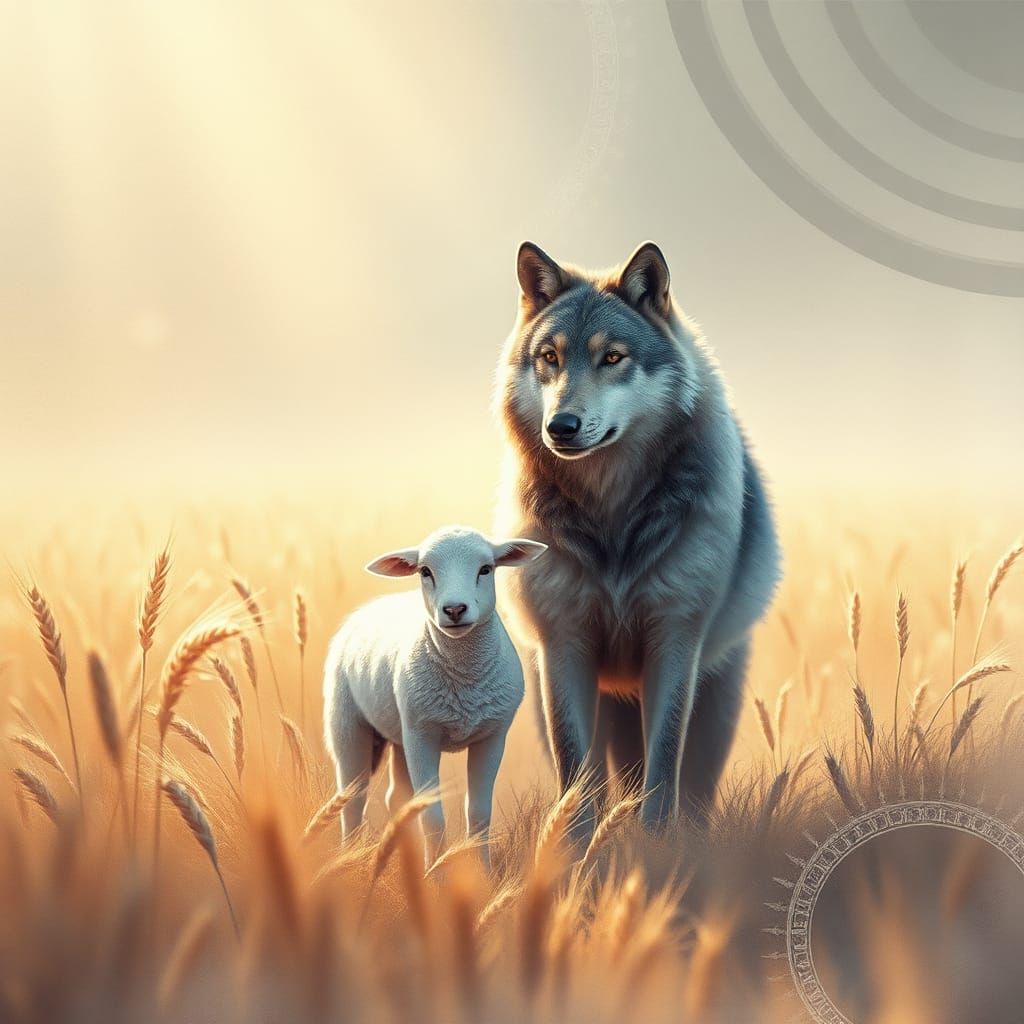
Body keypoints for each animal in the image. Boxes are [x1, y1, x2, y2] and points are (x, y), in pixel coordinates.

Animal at [323, 525, 547, 867]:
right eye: (425, 571)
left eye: (486, 569)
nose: (454, 609)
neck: (465, 681)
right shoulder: (423, 736)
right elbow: (432, 816)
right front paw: (435, 874)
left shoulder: (492, 736)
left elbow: (479, 813)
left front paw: (483, 872)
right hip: (349, 723)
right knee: (352, 798)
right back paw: (349, 859)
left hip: (401, 733)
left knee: (395, 799)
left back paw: (406, 861)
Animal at [493, 241, 781, 829]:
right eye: (550, 357)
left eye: (612, 358)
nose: (561, 427)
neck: (612, 515)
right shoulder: (563, 648)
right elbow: (577, 774)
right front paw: (577, 847)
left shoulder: (675, 641)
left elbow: (664, 763)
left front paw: (656, 842)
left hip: (717, 696)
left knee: (693, 783)